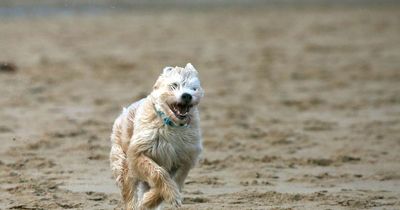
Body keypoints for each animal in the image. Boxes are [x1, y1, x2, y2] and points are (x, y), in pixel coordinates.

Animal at [109, 63, 203, 209]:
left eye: (194, 88)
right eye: (174, 85)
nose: (187, 95)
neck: (172, 124)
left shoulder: (185, 159)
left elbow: (176, 180)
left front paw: (149, 200)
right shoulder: (137, 154)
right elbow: (159, 173)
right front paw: (170, 196)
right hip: (123, 165)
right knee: (129, 194)